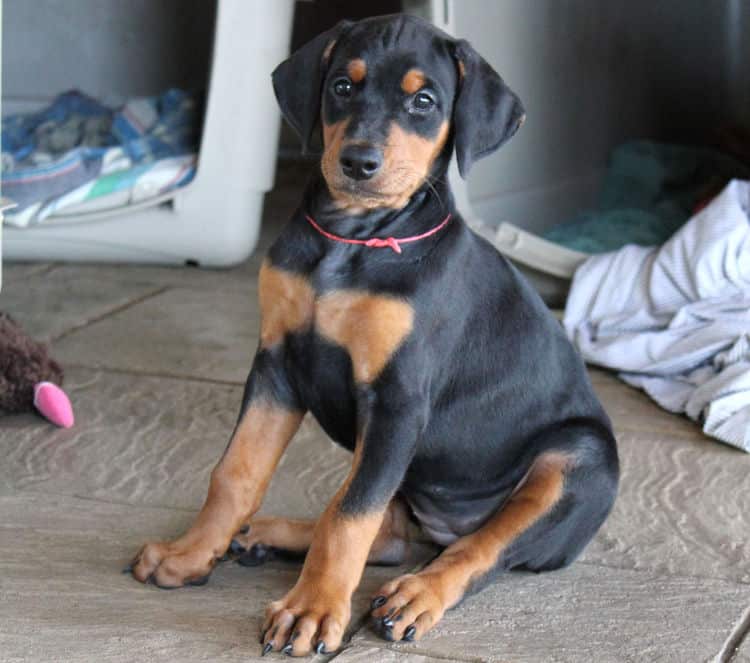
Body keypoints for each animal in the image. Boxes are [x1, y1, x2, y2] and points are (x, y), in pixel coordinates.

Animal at [129, 14, 620, 660]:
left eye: (424, 101)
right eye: (342, 86)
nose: (359, 161)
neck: (353, 240)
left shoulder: (398, 400)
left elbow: (350, 512)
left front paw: (312, 612)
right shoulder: (275, 365)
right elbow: (235, 473)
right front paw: (188, 555)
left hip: (578, 461)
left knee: (478, 549)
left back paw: (415, 595)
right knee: (390, 536)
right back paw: (268, 535)